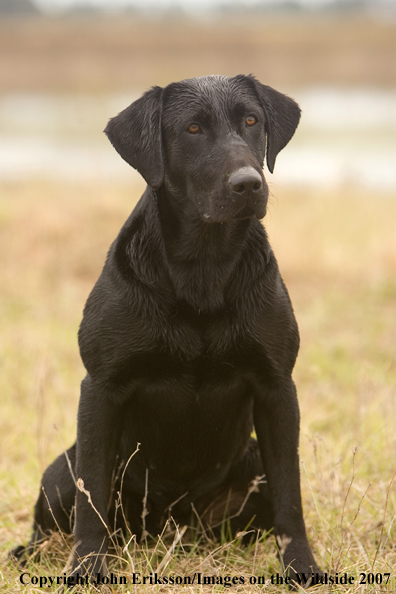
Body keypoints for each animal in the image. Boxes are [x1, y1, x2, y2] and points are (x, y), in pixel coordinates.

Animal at [13, 74, 322, 584]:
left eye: (251, 121)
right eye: (192, 129)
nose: (248, 184)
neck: (203, 269)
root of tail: (170, 526)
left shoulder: (277, 387)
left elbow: (289, 494)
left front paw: (301, 565)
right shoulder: (101, 386)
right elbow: (92, 500)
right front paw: (88, 568)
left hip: (249, 459)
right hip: (61, 469)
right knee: (56, 519)